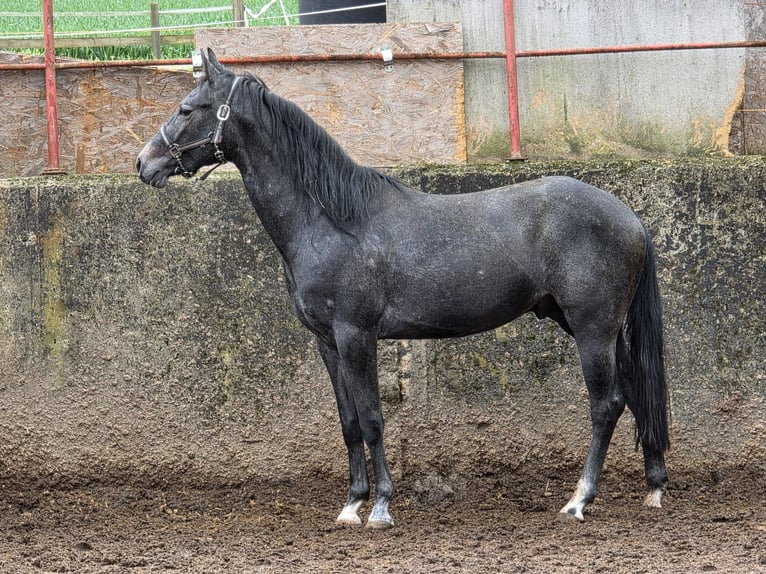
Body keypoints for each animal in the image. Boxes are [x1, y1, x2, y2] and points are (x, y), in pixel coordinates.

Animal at [136, 48, 669, 528]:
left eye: (188, 108)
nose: (144, 163)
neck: (334, 222)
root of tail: (629, 217)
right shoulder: (327, 342)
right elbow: (349, 422)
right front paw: (352, 503)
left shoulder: (357, 335)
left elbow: (373, 419)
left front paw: (380, 507)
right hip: (589, 325)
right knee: (636, 392)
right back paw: (654, 487)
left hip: (592, 329)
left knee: (607, 405)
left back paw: (579, 500)